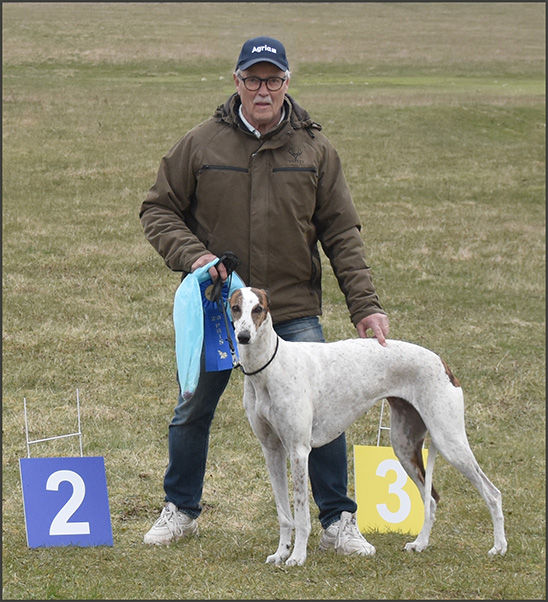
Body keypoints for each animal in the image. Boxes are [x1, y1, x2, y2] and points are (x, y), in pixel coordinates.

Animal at [229, 286, 508, 564]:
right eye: (235, 307)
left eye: (259, 309)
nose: (243, 336)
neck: (270, 367)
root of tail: (442, 363)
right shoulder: (272, 450)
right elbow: (284, 514)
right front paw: (281, 553)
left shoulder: (298, 451)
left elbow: (301, 514)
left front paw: (297, 557)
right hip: (404, 446)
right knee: (430, 498)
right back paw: (420, 543)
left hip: (450, 440)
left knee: (492, 493)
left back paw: (499, 547)